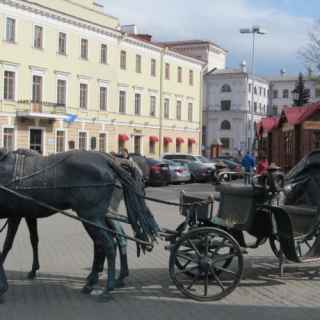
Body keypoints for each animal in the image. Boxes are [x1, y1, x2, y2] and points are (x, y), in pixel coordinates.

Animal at [0, 150, 159, 300]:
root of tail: (109, 161)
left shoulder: (15, 216)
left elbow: (7, 244)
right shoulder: (27, 215)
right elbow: (32, 240)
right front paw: (32, 270)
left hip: (91, 216)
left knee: (108, 244)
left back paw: (107, 288)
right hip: (97, 217)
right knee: (108, 242)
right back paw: (99, 281)